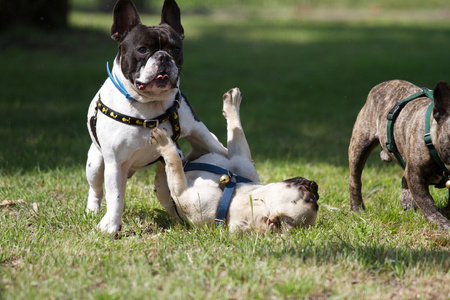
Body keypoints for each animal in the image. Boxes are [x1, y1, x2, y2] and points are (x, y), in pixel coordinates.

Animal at [87, 0, 229, 234]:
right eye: (142, 49)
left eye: (176, 49)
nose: (163, 56)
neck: (149, 105)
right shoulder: (115, 161)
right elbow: (115, 196)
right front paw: (111, 226)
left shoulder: (197, 130)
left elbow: (215, 147)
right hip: (96, 163)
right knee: (96, 189)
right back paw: (92, 210)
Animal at [149, 88, 318, 233]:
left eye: (311, 199)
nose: (315, 187)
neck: (230, 194)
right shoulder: (241, 158)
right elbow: (237, 131)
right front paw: (232, 104)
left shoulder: (181, 191)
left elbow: (174, 163)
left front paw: (164, 143)